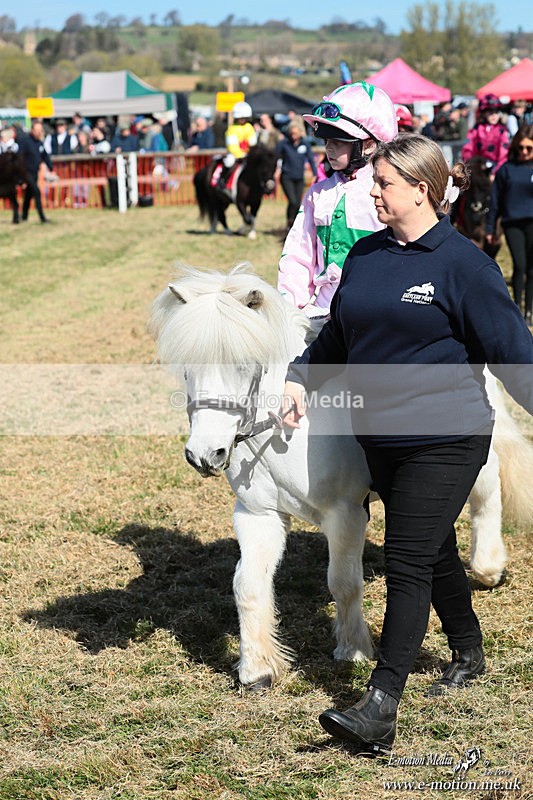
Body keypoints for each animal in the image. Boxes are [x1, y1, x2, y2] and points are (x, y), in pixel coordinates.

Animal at [150, 265, 533, 690]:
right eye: (187, 369)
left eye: (242, 364)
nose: (205, 454)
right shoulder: (256, 514)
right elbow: (247, 584)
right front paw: (257, 669)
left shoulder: (346, 512)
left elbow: (344, 582)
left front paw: (353, 650)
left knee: (488, 486)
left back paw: (488, 568)